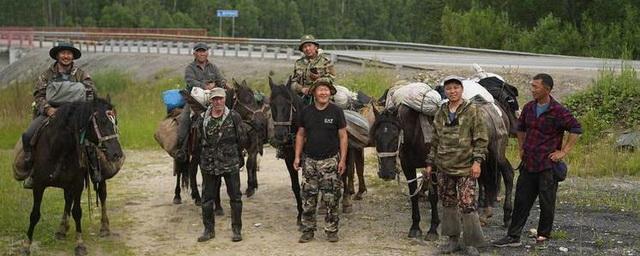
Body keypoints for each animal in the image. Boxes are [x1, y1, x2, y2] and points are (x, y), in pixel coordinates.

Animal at [23, 98, 125, 256]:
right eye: (102, 122)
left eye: (115, 122)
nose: (116, 153)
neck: (59, 149)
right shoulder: (39, 184)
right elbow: (34, 214)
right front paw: (26, 245)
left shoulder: (77, 184)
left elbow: (77, 212)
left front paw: (80, 244)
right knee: (67, 200)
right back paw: (61, 229)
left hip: (97, 177)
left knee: (102, 195)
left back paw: (104, 227)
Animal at [370, 106, 440, 240]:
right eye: (376, 137)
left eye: (395, 136)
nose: (386, 173)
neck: (416, 135)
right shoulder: (408, 168)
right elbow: (413, 195)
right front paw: (415, 227)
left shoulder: (433, 168)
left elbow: (433, 196)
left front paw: (433, 229)